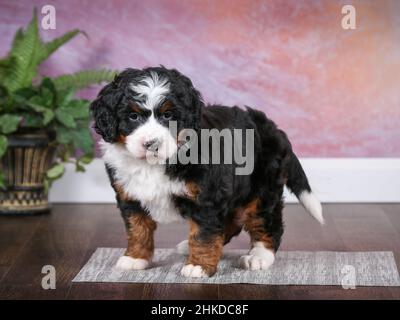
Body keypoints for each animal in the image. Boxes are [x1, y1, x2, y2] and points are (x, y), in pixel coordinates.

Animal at [90, 67, 322, 278]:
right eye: (133, 116)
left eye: (168, 115)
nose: (152, 143)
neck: (154, 163)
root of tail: (273, 129)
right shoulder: (130, 195)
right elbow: (137, 228)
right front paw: (135, 258)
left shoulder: (207, 196)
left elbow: (204, 233)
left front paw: (198, 266)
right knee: (230, 224)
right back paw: (188, 246)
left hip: (262, 189)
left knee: (266, 223)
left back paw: (258, 257)